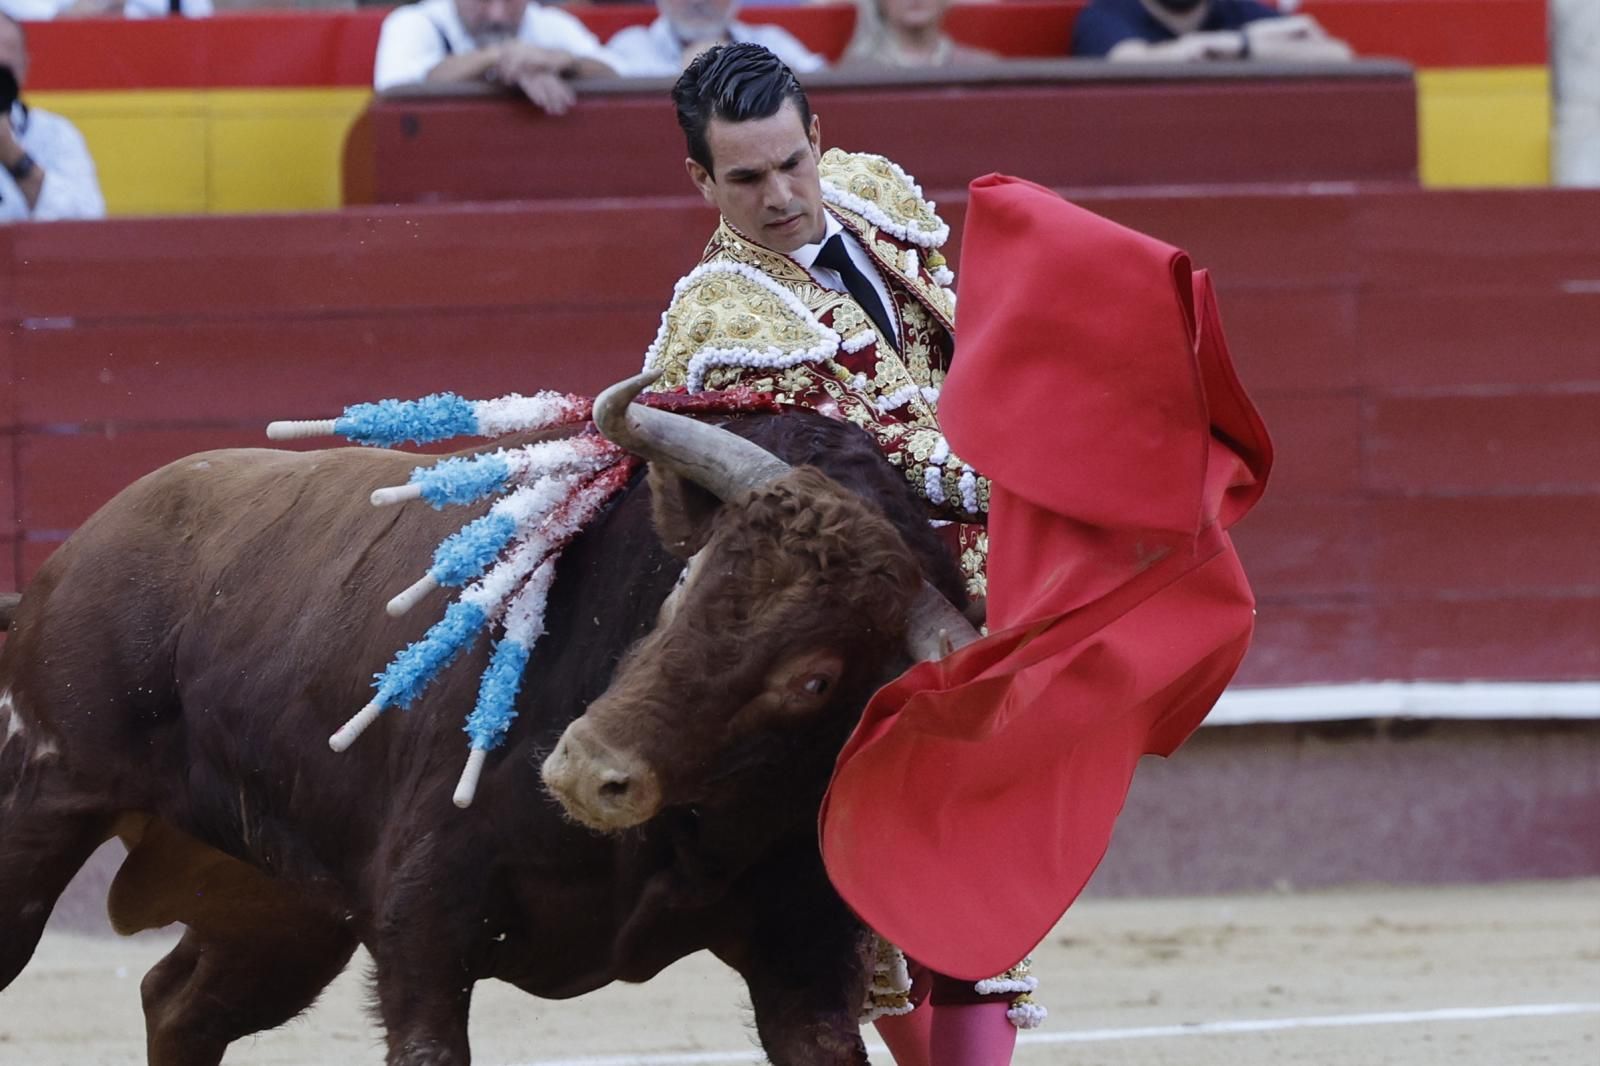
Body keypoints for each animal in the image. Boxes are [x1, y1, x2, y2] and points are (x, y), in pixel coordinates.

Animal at [0, 372, 972, 1062]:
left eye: (813, 681)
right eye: (684, 583)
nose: (582, 769)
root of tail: (80, 549)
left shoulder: (805, 964)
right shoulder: (424, 932)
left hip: (278, 908)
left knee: (180, 1006)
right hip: (49, 801)